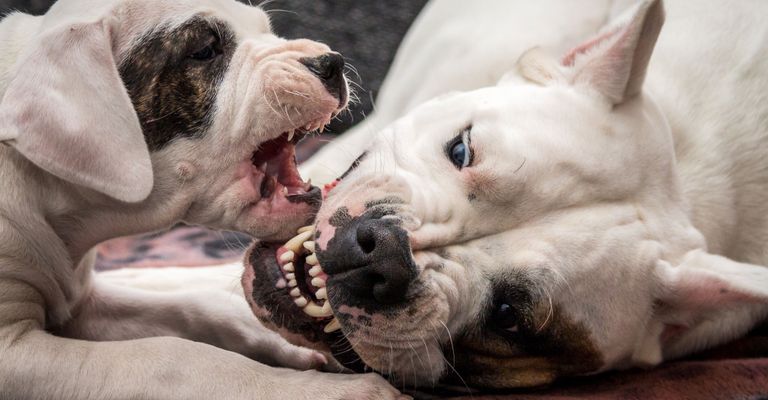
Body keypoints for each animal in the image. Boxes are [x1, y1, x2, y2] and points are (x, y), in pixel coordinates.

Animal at [0, 0, 404, 398]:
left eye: (265, 28)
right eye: (205, 51)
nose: (331, 62)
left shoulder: (85, 303)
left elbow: (198, 307)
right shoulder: (18, 352)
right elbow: (174, 357)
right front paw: (332, 390)